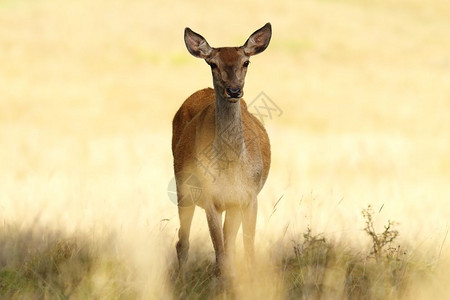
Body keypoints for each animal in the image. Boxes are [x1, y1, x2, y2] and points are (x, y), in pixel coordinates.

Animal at [171, 23, 270, 278]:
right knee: (182, 241)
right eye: (212, 63)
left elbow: (245, 250)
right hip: (183, 189)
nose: (233, 90)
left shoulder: (249, 196)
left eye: (246, 62)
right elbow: (220, 257)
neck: (232, 168)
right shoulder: (210, 198)